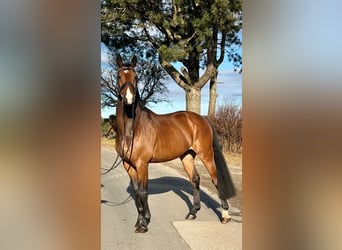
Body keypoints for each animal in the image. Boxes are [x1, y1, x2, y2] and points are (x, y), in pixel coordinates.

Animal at [115, 54, 235, 232]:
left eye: (136, 77)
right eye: (119, 76)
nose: (129, 99)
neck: (133, 128)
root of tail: (201, 119)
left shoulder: (142, 164)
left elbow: (143, 192)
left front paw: (144, 224)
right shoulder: (128, 164)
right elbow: (136, 193)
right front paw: (139, 222)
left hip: (206, 154)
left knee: (215, 179)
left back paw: (225, 216)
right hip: (187, 156)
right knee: (195, 179)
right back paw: (193, 213)